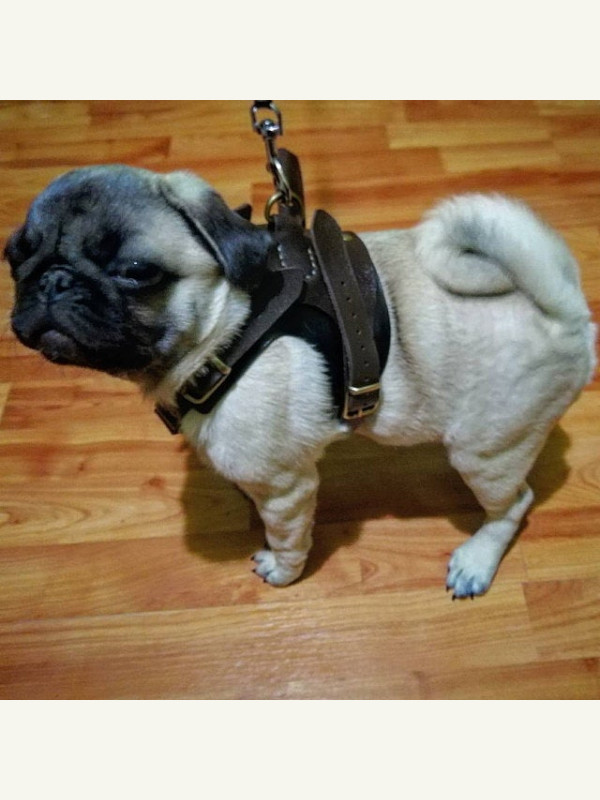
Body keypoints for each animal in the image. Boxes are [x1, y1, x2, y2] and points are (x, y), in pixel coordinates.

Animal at [5, 165, 596, 597]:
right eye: (16, 257)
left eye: (135, 272)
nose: (53, 280)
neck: (229, 329)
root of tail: (566, 312)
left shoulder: (287, 488)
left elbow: (288, 536)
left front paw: (282, 570)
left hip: (486, 451)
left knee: (514, 505)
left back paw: (477, 560)